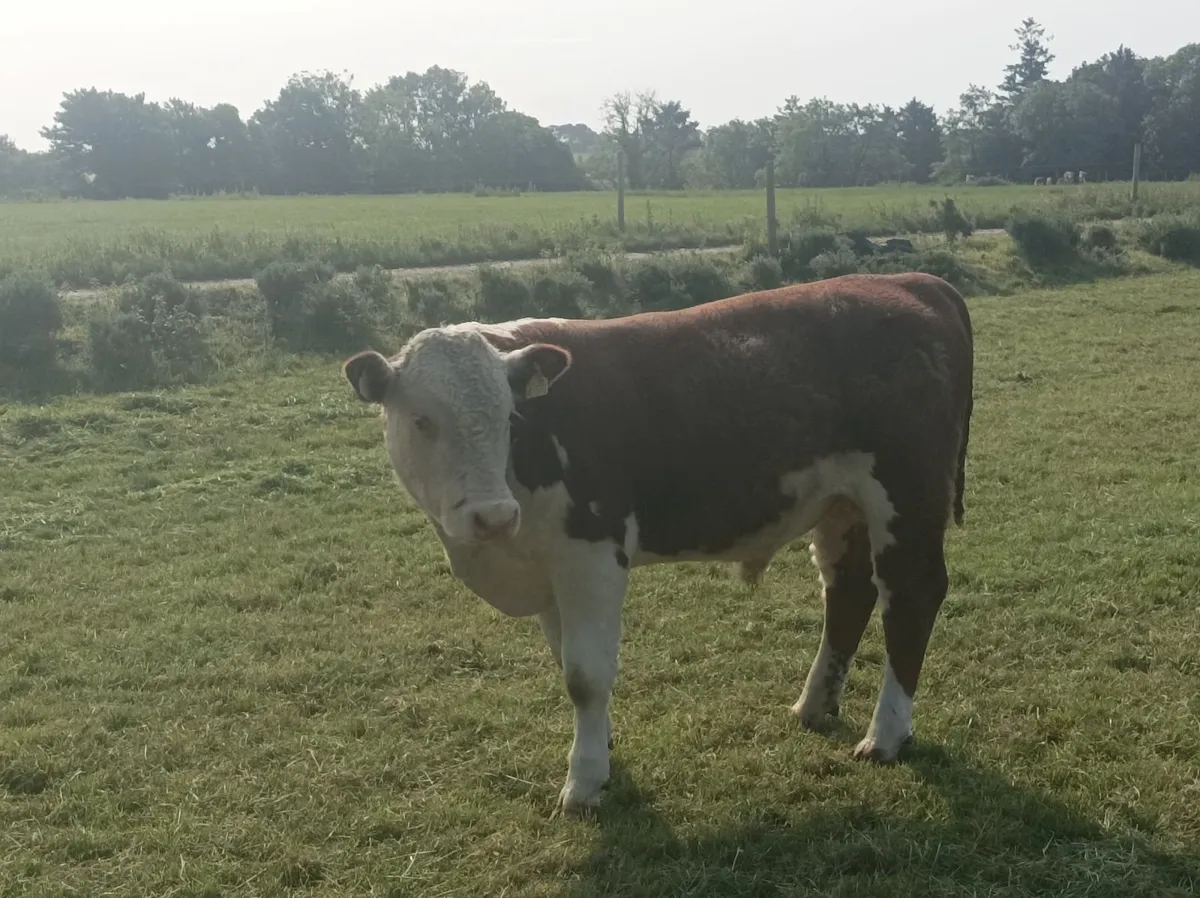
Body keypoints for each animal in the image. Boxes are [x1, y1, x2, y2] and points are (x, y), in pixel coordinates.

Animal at [342, 271, 975, 817]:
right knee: (848, 592)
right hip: (844, 506)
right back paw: (815, 705)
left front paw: (584, 782)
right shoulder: (548, 571)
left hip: (907, 497)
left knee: (910, 598)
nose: (492, 516)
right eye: (421, 420)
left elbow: (584, 674)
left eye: (510, 417)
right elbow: (566, 660)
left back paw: (886, 734)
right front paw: (601, 747)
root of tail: (907, 281)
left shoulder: (592, 556)